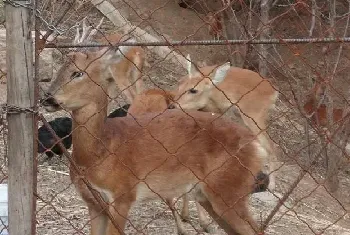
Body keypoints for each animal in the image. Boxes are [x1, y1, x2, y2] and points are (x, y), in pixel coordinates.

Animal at [170, 56, 278, 192]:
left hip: (254, 116)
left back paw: (271, 185)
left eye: (193, 90)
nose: (172, 105)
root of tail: (274, 92)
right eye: (179, 83)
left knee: (271, 146)